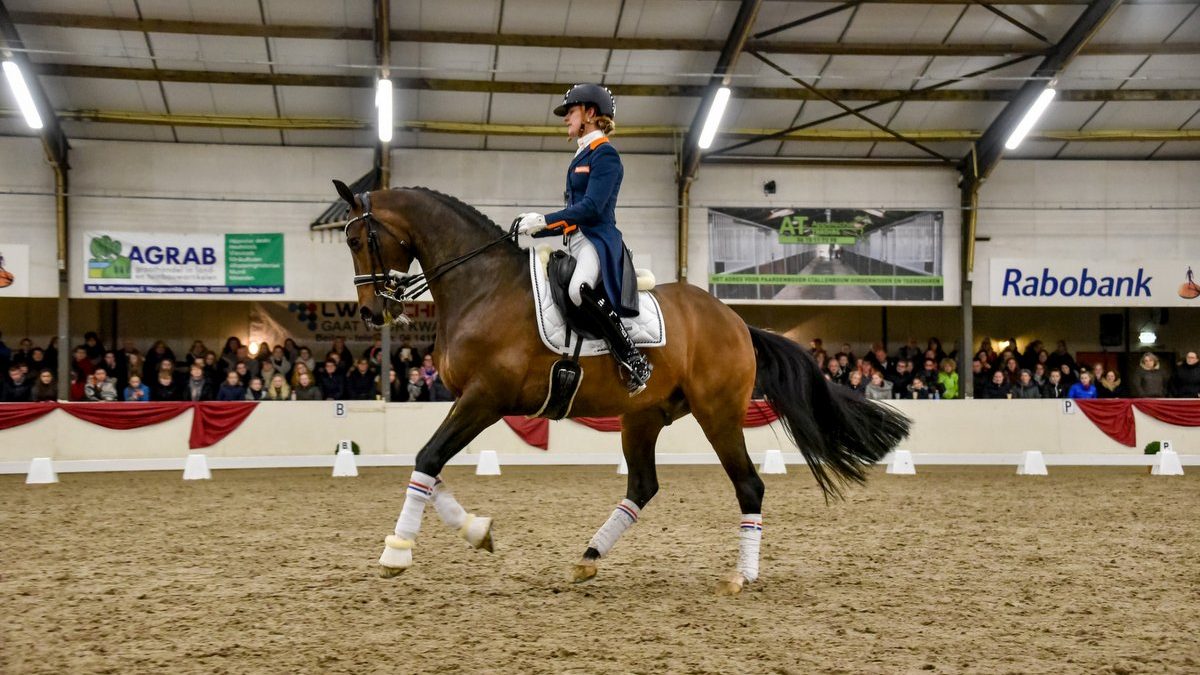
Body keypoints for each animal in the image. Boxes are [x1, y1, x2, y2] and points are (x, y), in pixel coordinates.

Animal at [333, 181, 902, 590]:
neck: (481, 286)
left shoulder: (485, 399)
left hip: (718, 414)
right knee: (642, 486)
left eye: (358, 239)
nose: (372, 312)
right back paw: (588, 558)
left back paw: (742, 576)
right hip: (643, 416)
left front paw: (396, 551)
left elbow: (428, 459)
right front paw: (477, 531)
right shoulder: (469, 401)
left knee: (749, 486)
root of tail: (737, 321)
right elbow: (431, 468)